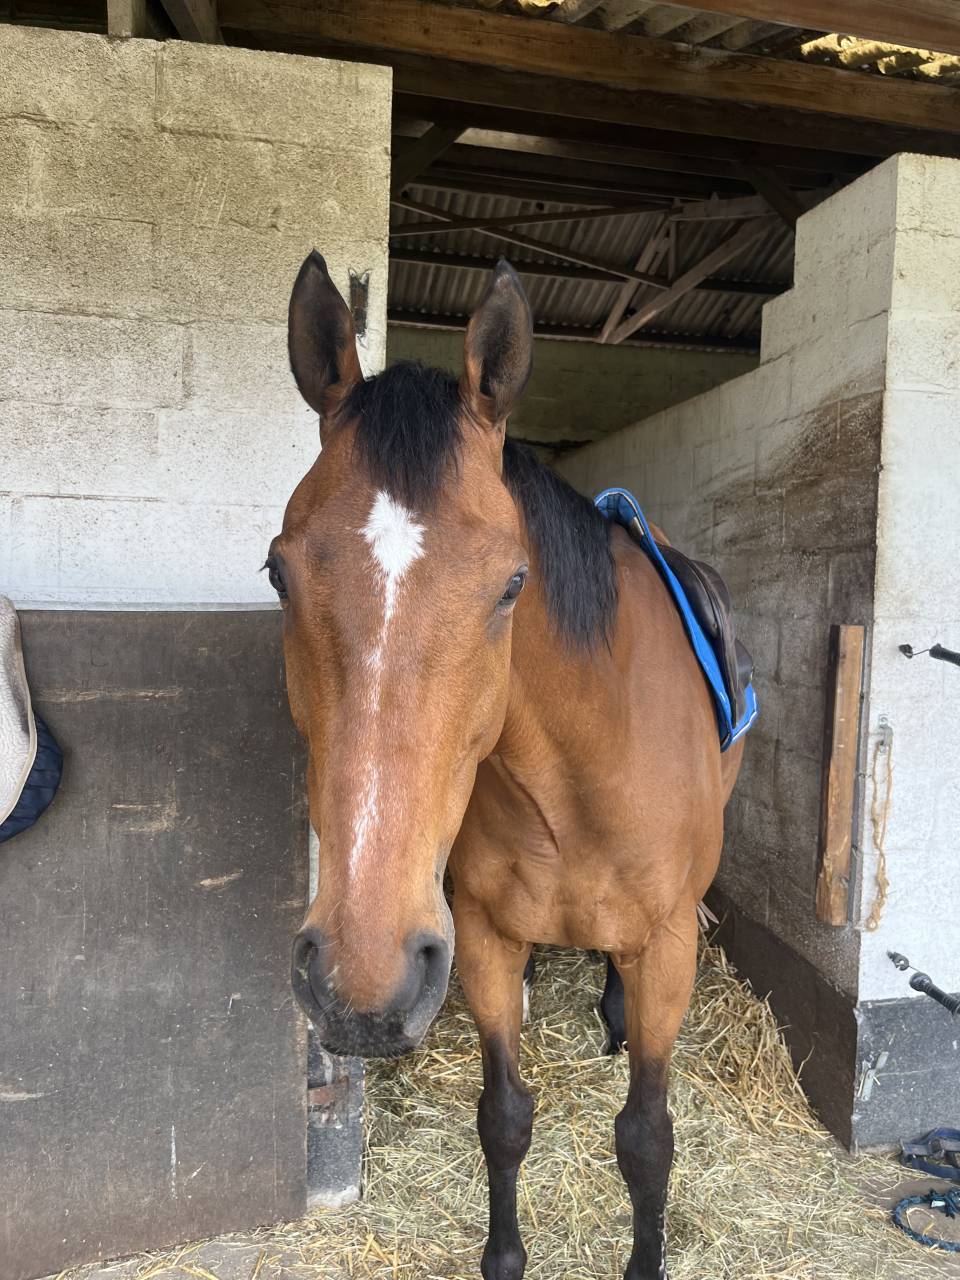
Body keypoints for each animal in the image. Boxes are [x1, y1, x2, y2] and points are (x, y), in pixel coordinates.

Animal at [275, 250, 745, 1280]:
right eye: (278, 572)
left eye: (511, 585)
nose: (361, 980)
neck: (577, 776)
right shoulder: (484, 940)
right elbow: (503, 1119)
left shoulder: (669, 948)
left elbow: (647, 1139)